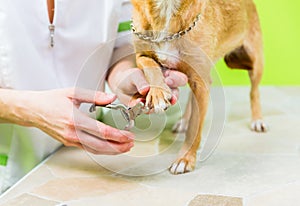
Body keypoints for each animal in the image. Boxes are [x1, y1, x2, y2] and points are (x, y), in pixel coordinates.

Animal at [130, 0, 268, 174]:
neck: (167, 8)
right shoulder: (141, 55)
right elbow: (149, 65)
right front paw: (158, 93)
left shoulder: (200, 81)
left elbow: (195, 127)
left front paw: (185, 159)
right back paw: (183, 120)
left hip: (255, 62)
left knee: (254, 92)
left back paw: (257, 120)